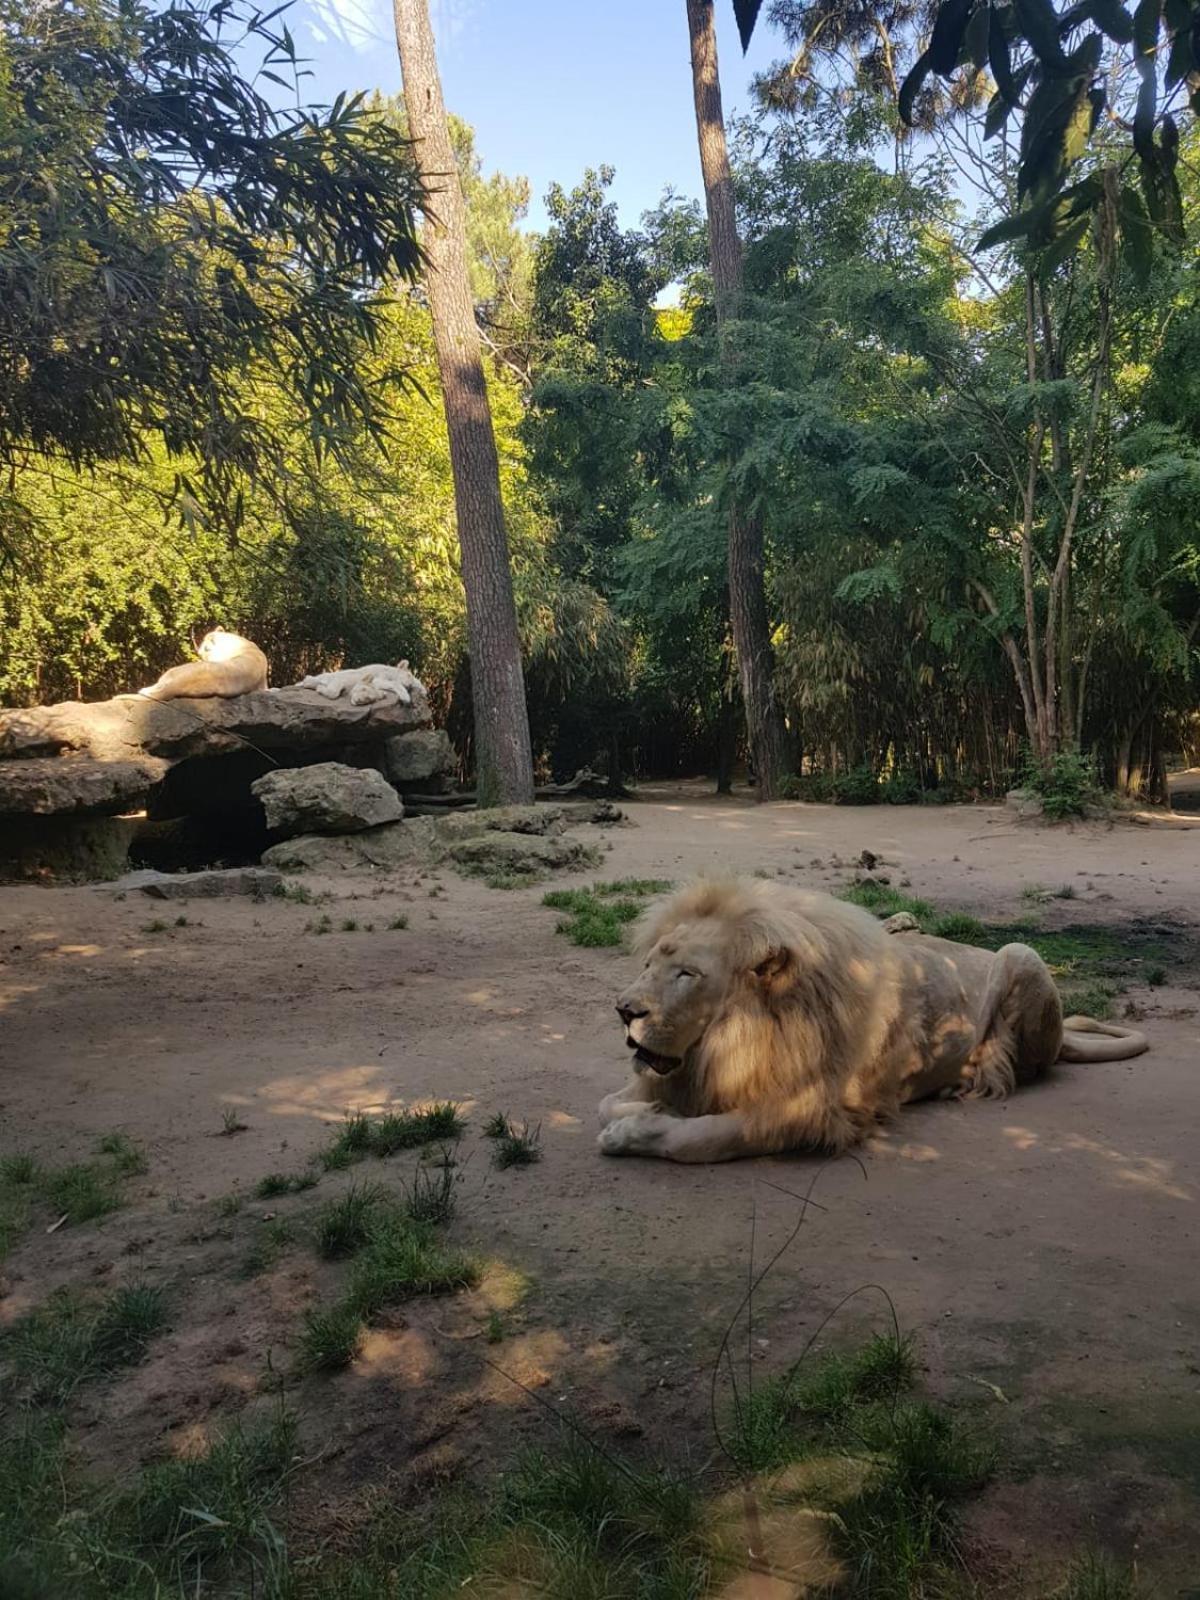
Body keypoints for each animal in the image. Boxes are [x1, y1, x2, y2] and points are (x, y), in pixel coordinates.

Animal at [604, 876, 1152, 1164]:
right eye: (648, 965)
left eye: (688, 974)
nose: (624, 1010)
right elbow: (608, 1101)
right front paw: (644, 1109)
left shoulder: (807, 1111)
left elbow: (699, 1139)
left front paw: (630, 1132)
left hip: (1021, 953)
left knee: (1026, 1064)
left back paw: (973, 1076)